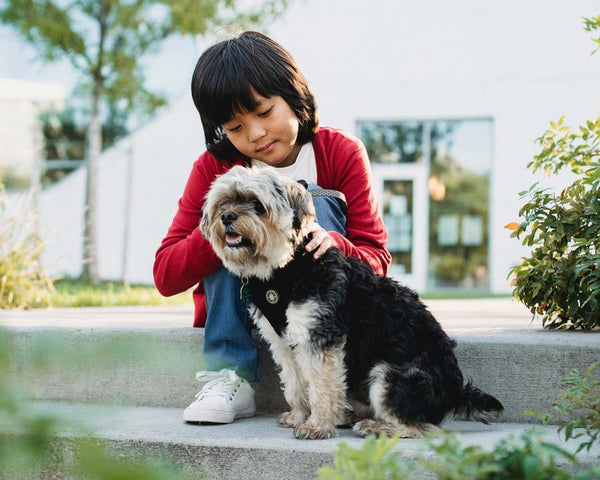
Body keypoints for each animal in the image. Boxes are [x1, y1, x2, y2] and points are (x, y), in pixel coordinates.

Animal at [200, 165, 502, 438]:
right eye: (224, 201)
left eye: (257, 205)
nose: (227, 216)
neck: (286, 268)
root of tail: (457, 391)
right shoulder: (283, 343)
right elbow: (295, 384)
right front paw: (299, 416)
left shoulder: (320, 338)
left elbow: (321, 386)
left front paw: (318, 426)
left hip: (389, 375)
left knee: (421, 427)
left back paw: (375, 426)